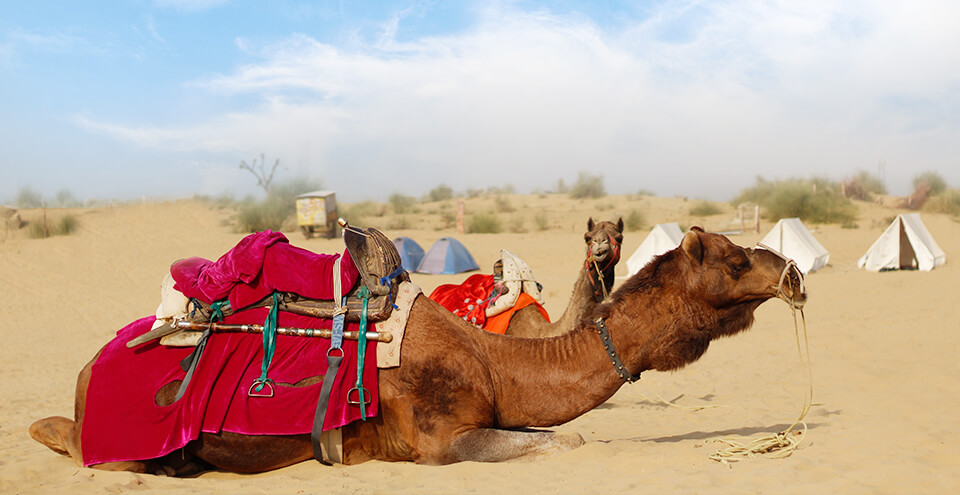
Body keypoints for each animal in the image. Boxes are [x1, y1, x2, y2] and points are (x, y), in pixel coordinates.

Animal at [30, 227, 806, 473]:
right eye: (736, 260)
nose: (793, 272)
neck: (495, 357)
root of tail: (87, 372)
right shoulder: (442, 439)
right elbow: (569, 440)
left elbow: (565, 433)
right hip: (128, 440)